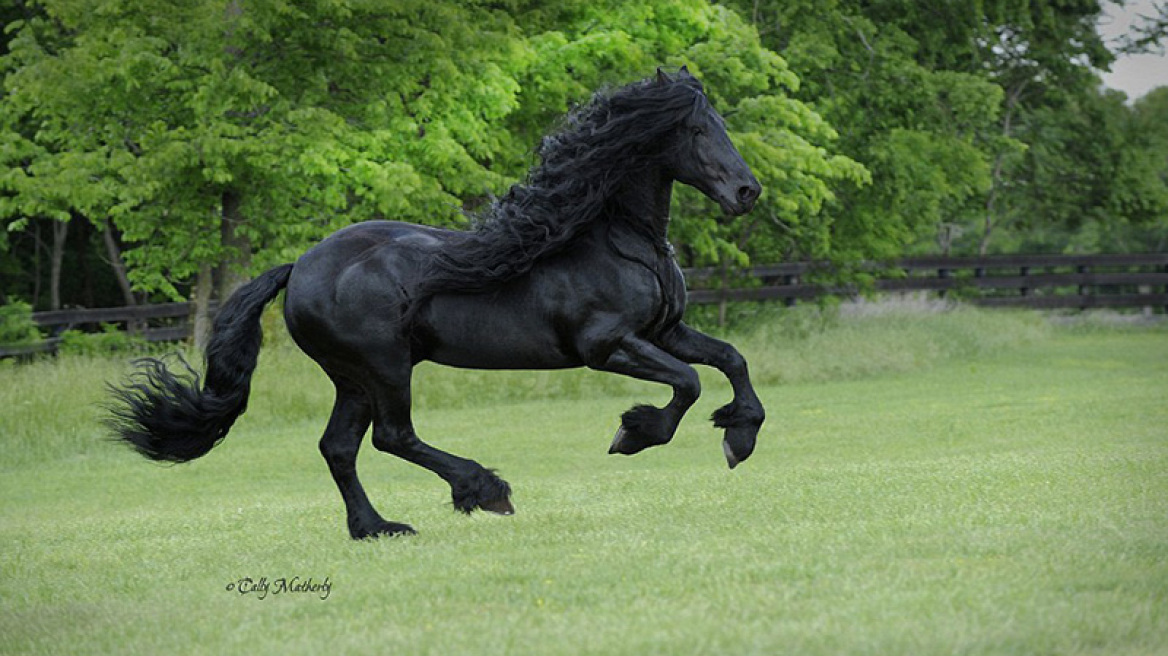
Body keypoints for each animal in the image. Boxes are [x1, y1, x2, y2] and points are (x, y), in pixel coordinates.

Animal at [109, 67, 766, 536]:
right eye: (696, 130)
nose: (746, 191)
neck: (615, 239)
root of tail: (301, 267)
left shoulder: (665, 332)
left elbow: (730, 360)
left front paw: (739, 437)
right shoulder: (606, 346)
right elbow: (688, 383)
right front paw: (634, 433)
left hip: (352, 379)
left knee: (339, 447)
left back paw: (376, 528)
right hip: (384, 367)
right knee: (392, 437)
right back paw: (485, 490)